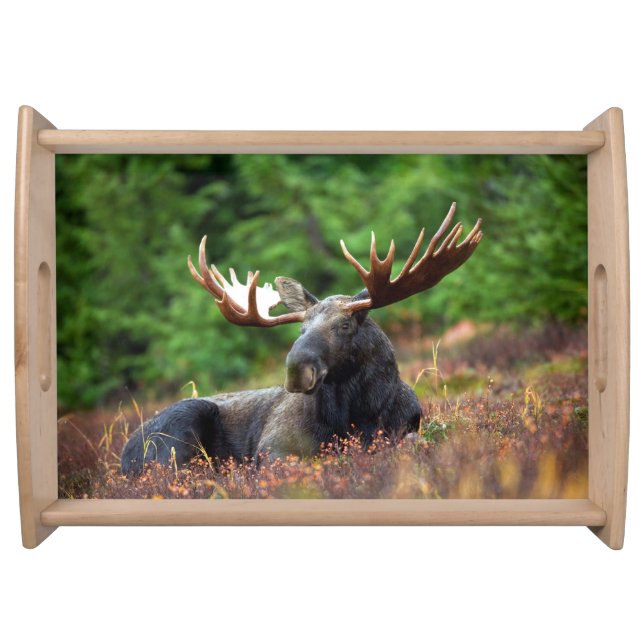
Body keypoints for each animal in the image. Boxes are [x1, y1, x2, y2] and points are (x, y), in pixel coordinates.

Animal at [121, 203, 482, 475]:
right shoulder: (273, 449)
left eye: (344, 325)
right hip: (180, 428)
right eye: (301, 329)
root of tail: (124, 455)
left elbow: (413, 443)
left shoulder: (407, 428)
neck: (360, 415)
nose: (297, 370)